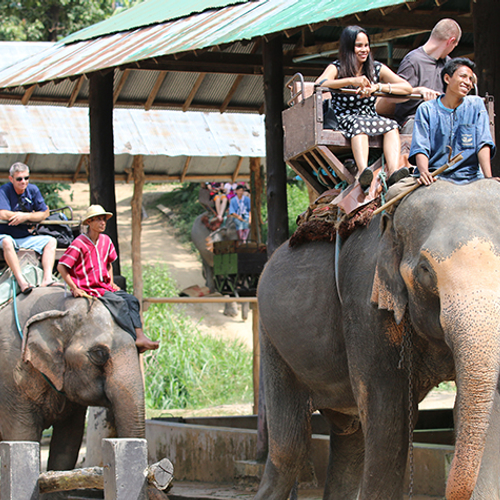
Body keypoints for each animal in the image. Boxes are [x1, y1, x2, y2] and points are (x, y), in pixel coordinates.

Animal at [256, 181, 500, 500]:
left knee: (350, 438)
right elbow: (389, 417)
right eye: (425, 270)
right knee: (290, 448)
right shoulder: (364, 301)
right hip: (272, 340)